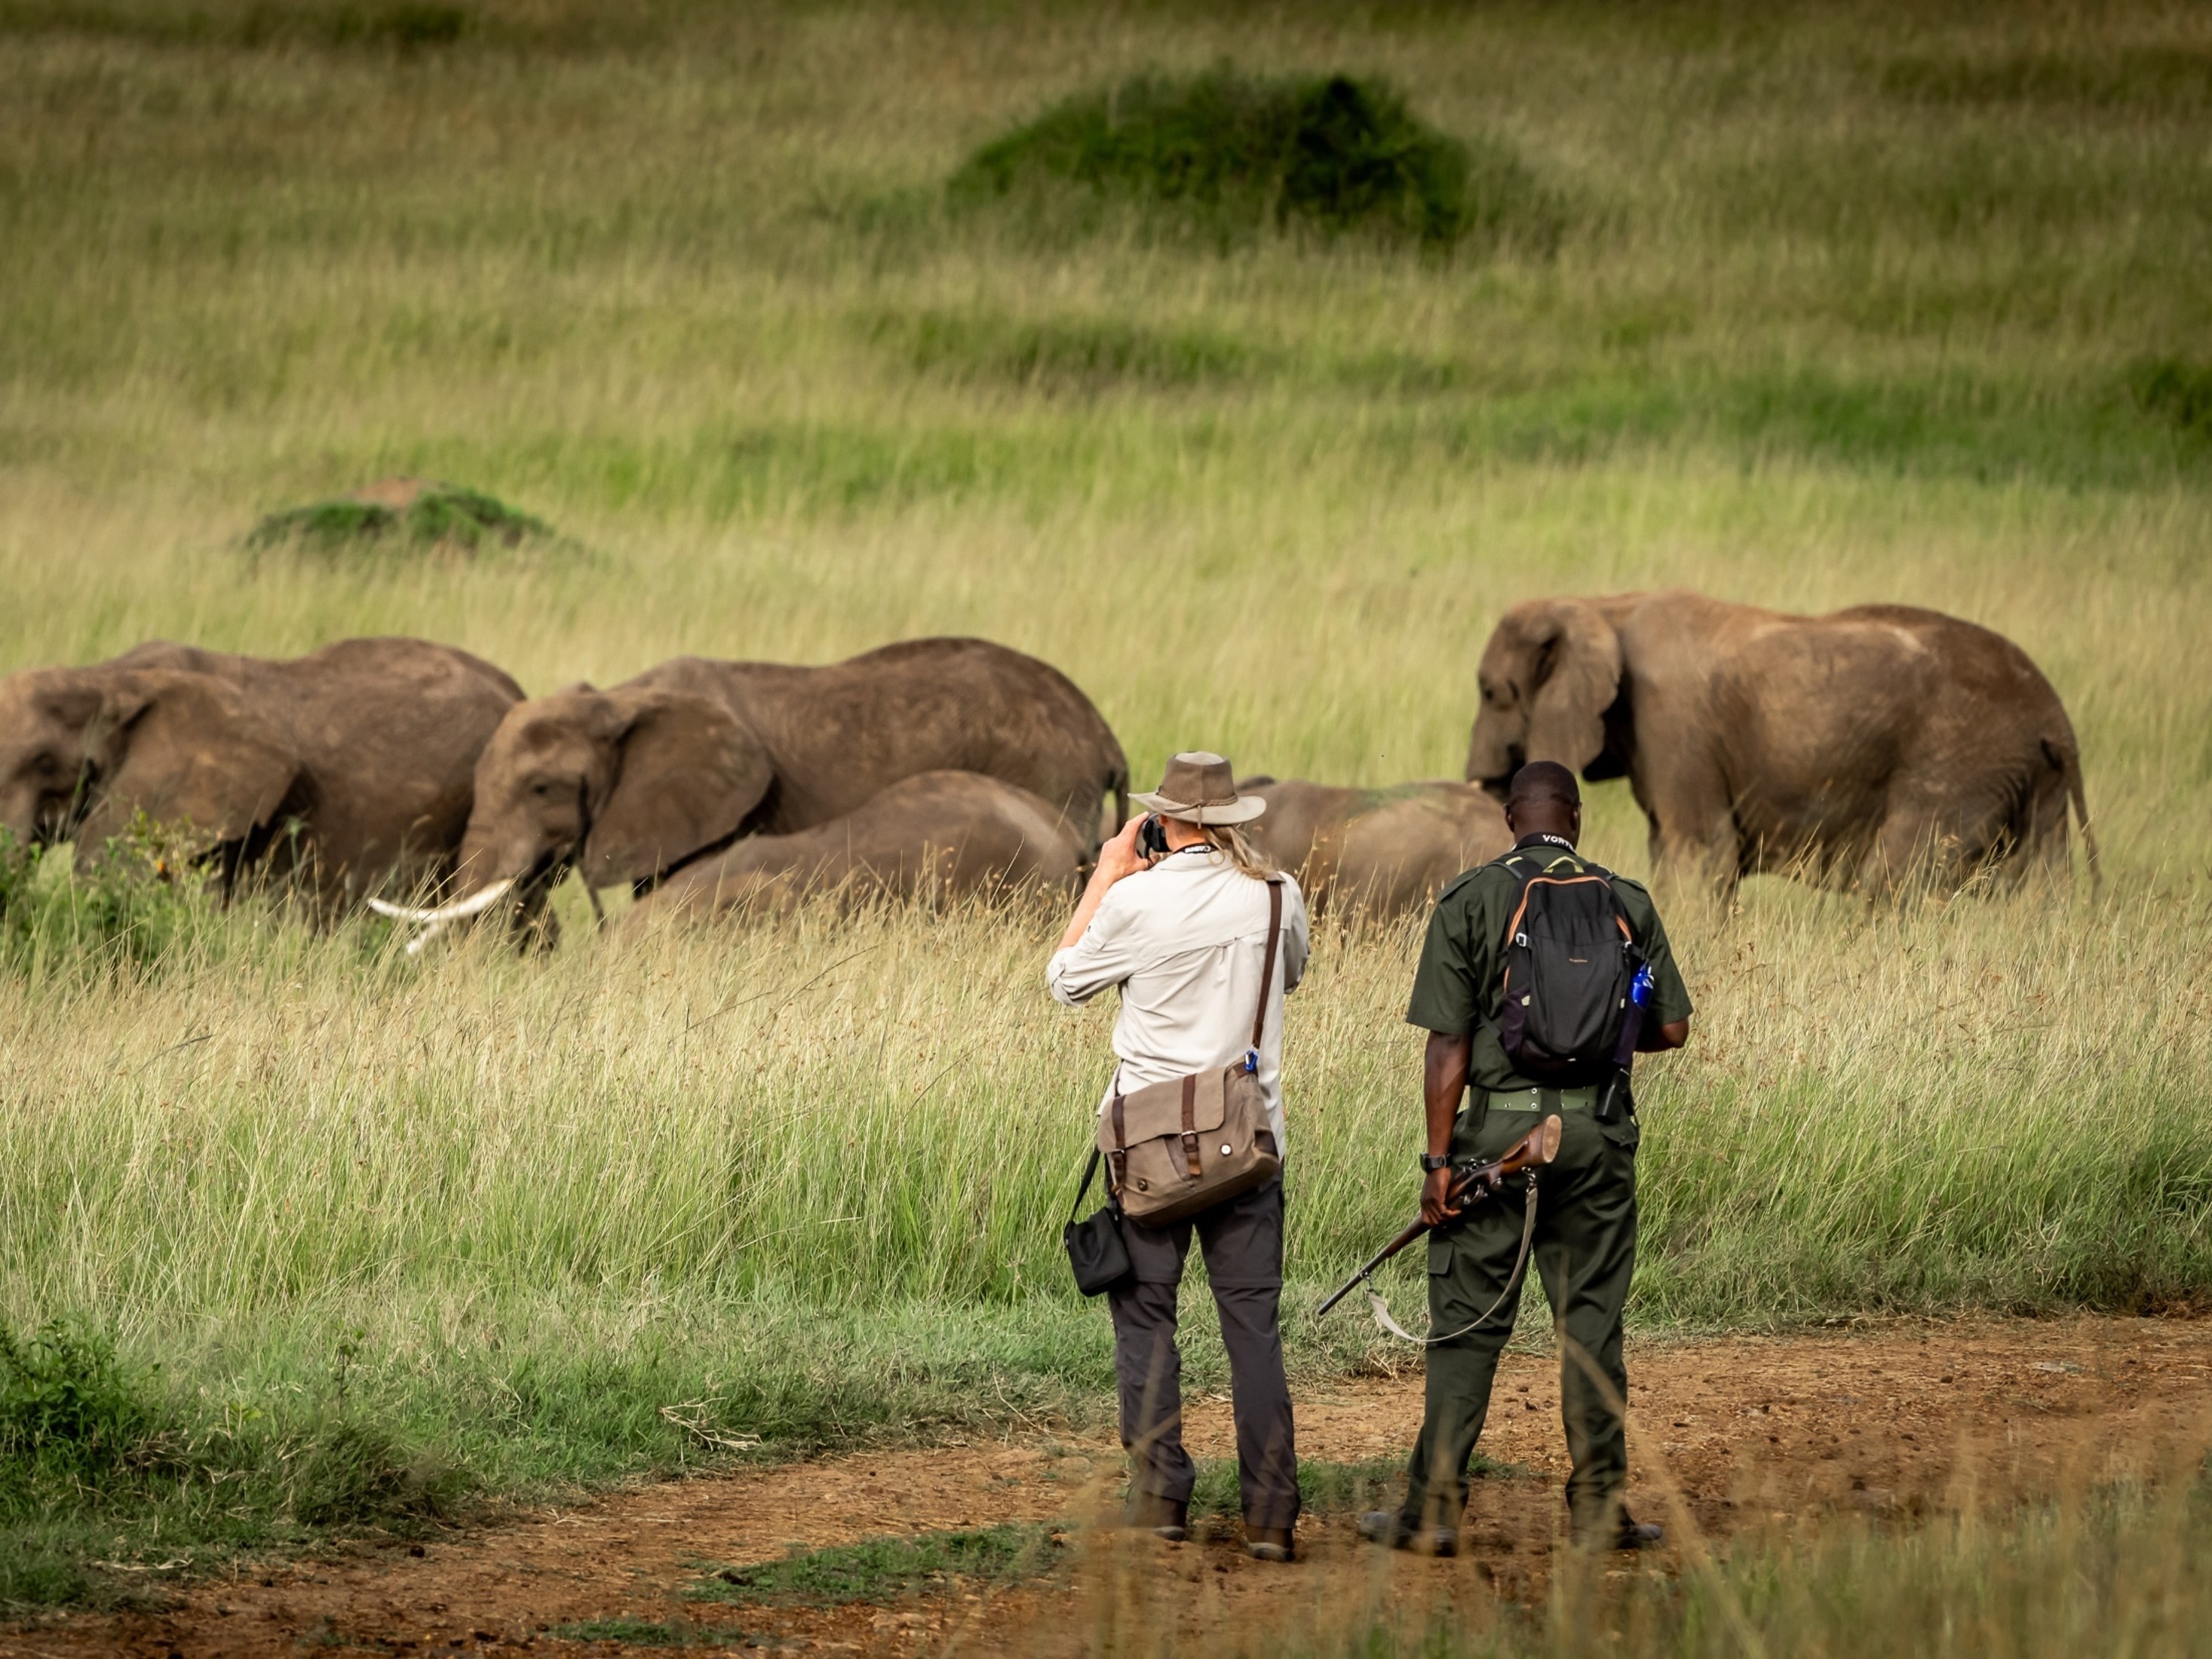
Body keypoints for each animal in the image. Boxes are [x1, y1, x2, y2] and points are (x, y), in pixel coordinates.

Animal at [1465, 590, 2094, 892]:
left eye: (1492, 693)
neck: (1601, 604)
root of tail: (2056, 719)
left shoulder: (1672, 727)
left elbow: (1701, 856)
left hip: (1958, 765)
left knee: (1893, 879)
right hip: (2028, 781)